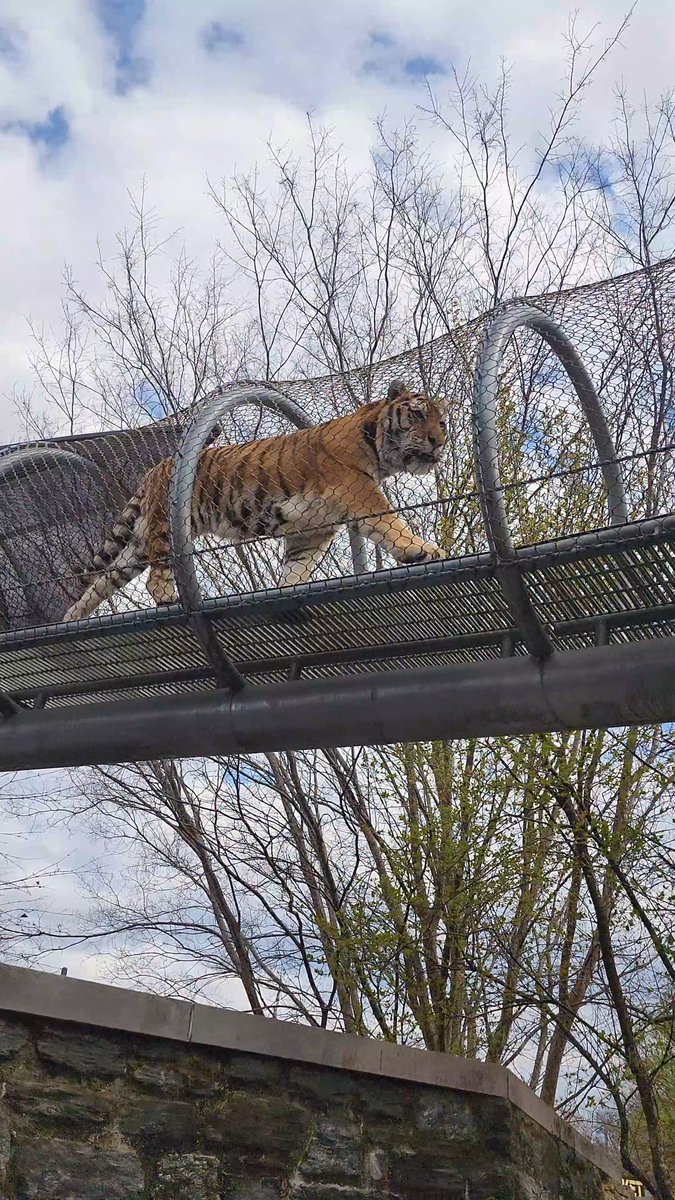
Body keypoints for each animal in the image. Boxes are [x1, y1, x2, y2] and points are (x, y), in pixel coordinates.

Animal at [62, 380, 448, 622]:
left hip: (138, 545)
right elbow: (391, 521)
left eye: (442, 422)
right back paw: (168, 597)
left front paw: (287, 592)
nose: (438, 441)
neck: (380, 451)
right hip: (163, 529)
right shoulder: (360, 492)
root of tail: (157, 467)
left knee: (102, 581)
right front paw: (422, 550)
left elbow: (296, 568)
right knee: (156, 574)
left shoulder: (313, 530)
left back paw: (71, 618)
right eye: (417, 415)